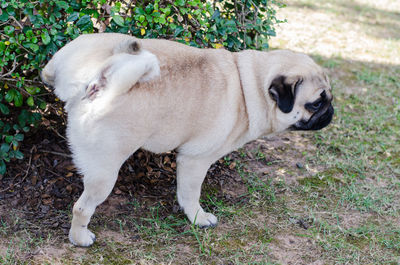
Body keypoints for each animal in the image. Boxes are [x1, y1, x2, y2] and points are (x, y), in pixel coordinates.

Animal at [41, 32, 334, 245]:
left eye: (328, 98)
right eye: (316, 104)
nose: (332, 110)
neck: (248, 86)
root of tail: (95, 81)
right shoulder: (196, 160)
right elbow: (190, 193)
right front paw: (198, 218)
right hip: (105, 169)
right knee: (82, 208)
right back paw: (80, 238)